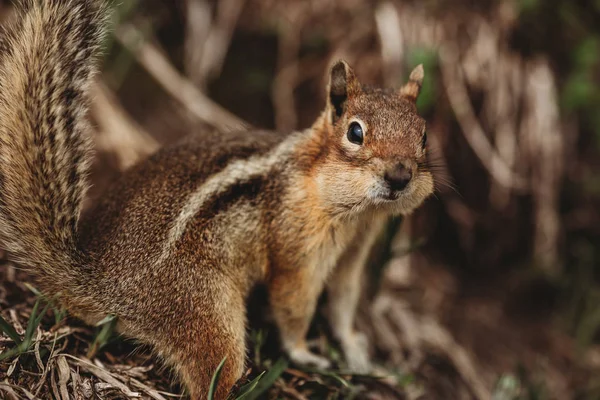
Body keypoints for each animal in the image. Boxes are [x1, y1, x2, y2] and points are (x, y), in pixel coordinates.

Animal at [0, 1, 434, 398]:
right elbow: (293, 303)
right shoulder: (296, 247)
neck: (356, 212)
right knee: (212, 376)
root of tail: (98, 280)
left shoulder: (353, 253)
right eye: (355, 132)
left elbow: (343, 303)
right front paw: (304, 353)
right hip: (204, 309)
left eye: (424, 135)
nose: (400, 177)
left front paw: (356, 352)